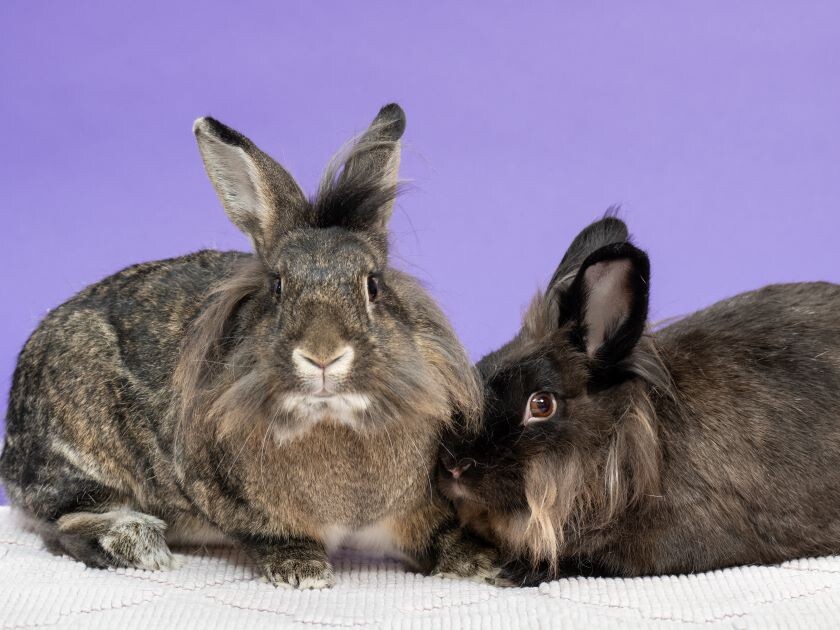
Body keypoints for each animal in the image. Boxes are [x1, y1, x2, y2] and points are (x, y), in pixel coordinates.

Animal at [0, 103, 501, 589]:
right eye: (277, 286)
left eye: (372, 285)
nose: (323, 355)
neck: (329, 416)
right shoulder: (224, 493)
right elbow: (271, 534)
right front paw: (303, 572)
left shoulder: (410, 512)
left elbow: (439, 536)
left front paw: (483, 563)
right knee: (64, 522)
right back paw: (137, 545)